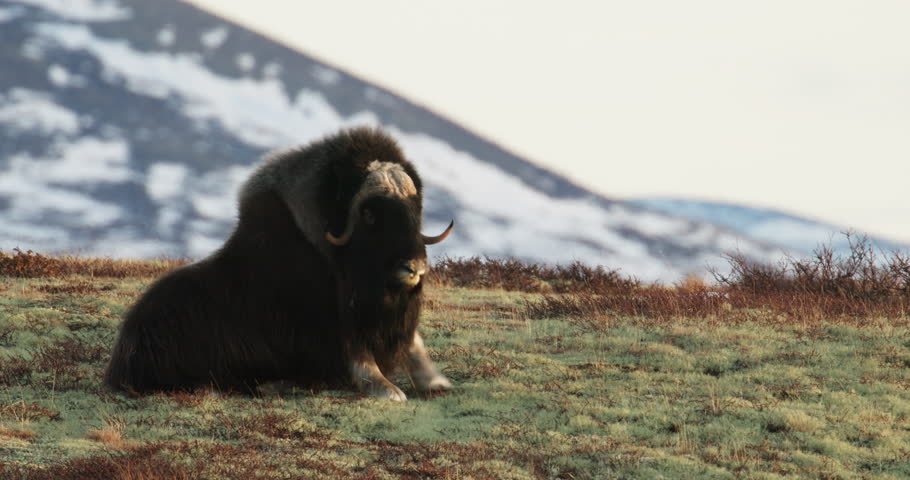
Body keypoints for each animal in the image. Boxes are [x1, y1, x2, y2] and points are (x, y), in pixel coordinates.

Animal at [104, 127, 454, 401]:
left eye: (414, 209)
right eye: (369, 214)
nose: (415, 267)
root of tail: (123, 353)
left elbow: (414, 344)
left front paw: (437, 382)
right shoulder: (336, 322)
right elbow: (357, 355)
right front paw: (389, 391)